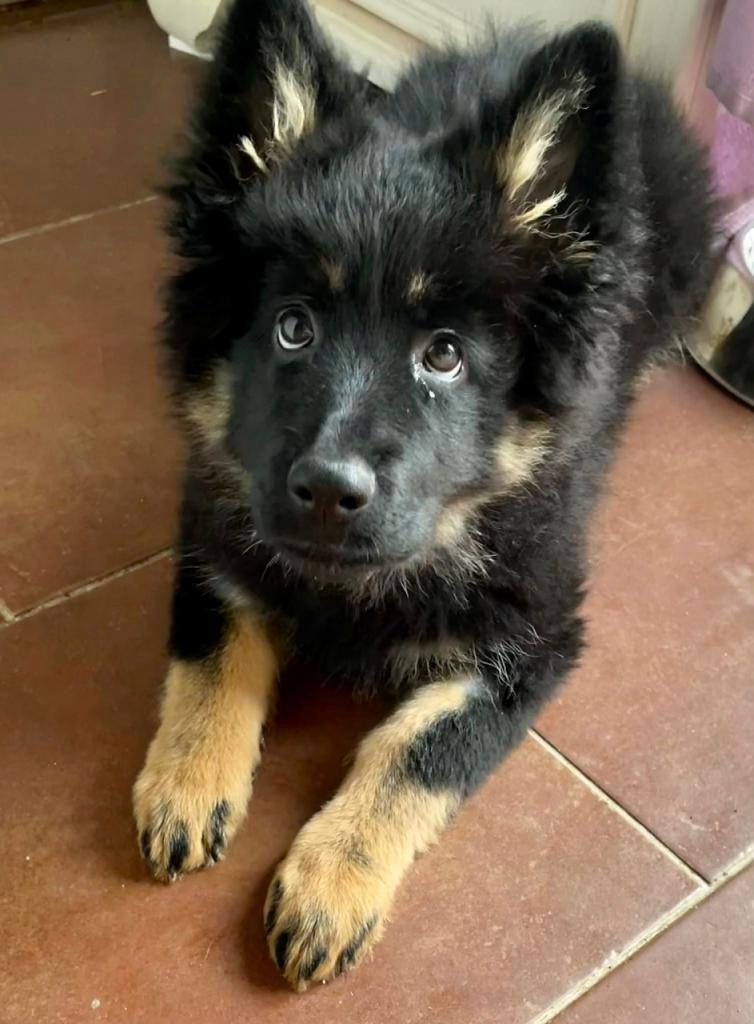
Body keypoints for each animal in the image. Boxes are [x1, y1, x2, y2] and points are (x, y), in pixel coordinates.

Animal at [133, 0, 715, 990]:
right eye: (293, 328)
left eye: (443, 355)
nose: (328, 490)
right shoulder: (218, 525)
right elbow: (211, 651)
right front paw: (186, 779)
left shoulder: (537, 637)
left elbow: (420, 748)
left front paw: (333, 879)